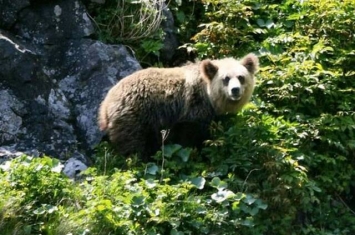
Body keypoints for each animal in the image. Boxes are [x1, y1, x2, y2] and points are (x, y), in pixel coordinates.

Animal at [98, 53, 260, 160]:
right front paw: (196, 152)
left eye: (241, 77)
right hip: (135, 116)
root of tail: (105, 103)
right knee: (133, 144)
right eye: (225, 79)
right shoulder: (193, 109)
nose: (235, 90)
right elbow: (190, 136)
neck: (211, 99)